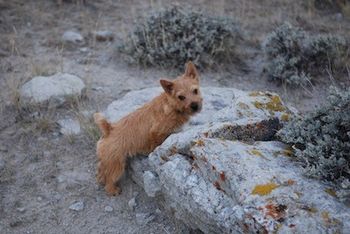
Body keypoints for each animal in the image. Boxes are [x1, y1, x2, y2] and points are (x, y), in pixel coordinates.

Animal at [93, 62, 202, 196]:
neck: (171, 105)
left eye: (195, 90)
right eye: (181, 97)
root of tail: (109, 129)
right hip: (117, 164)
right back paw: (112, 190)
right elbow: (157, 144)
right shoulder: (157, 132)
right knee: (109, 178)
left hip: (108, 160)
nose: (195, 105)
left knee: (102, 170)